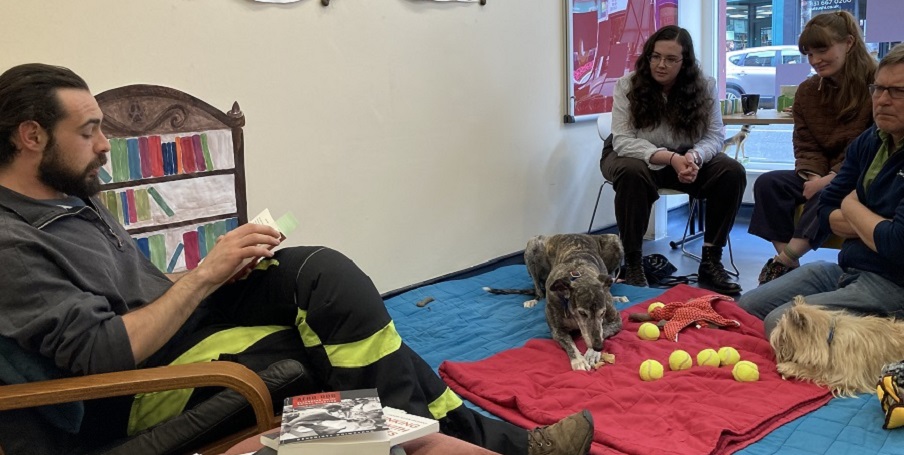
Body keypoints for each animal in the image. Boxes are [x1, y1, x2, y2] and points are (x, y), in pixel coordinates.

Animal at [484, 235, 624, 370]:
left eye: (603, 313)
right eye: (582, 313)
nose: (599, 347)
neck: (580, 274)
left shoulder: (616, 321)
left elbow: (603, 331)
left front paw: (592, 353)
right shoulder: (557, 331)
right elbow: (569, 343)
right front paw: (578, 360)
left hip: (615, 240)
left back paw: (617, 296)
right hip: (533, 245)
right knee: (538, 290)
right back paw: (533, 300)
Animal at [768, 298, 904, 398]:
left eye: (782, 337)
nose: (778, 356)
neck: (830, 335)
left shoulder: (844, 376)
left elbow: (816, 370)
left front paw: (787, 367)